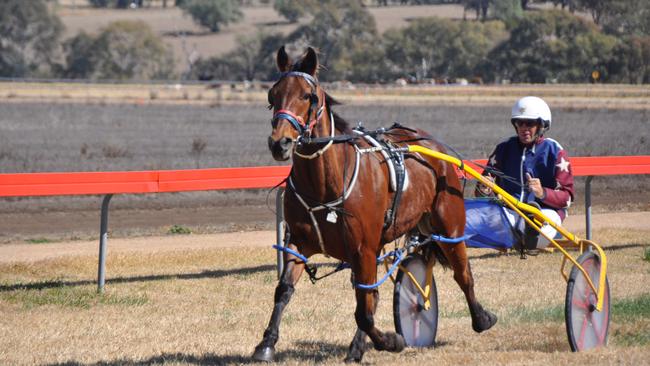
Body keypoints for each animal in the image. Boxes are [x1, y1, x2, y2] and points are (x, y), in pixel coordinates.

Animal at [253, 46, 496, 364]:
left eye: (308, 96)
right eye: (273, 95)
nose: (279, 143)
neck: (326, 182)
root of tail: (431, 144)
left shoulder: (363, 249)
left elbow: (365, 311)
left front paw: (392, 340)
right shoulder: (300, 242)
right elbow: (284, 290)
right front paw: (266, 343)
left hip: (449, 225)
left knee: (462, 273)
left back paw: (481, 318)